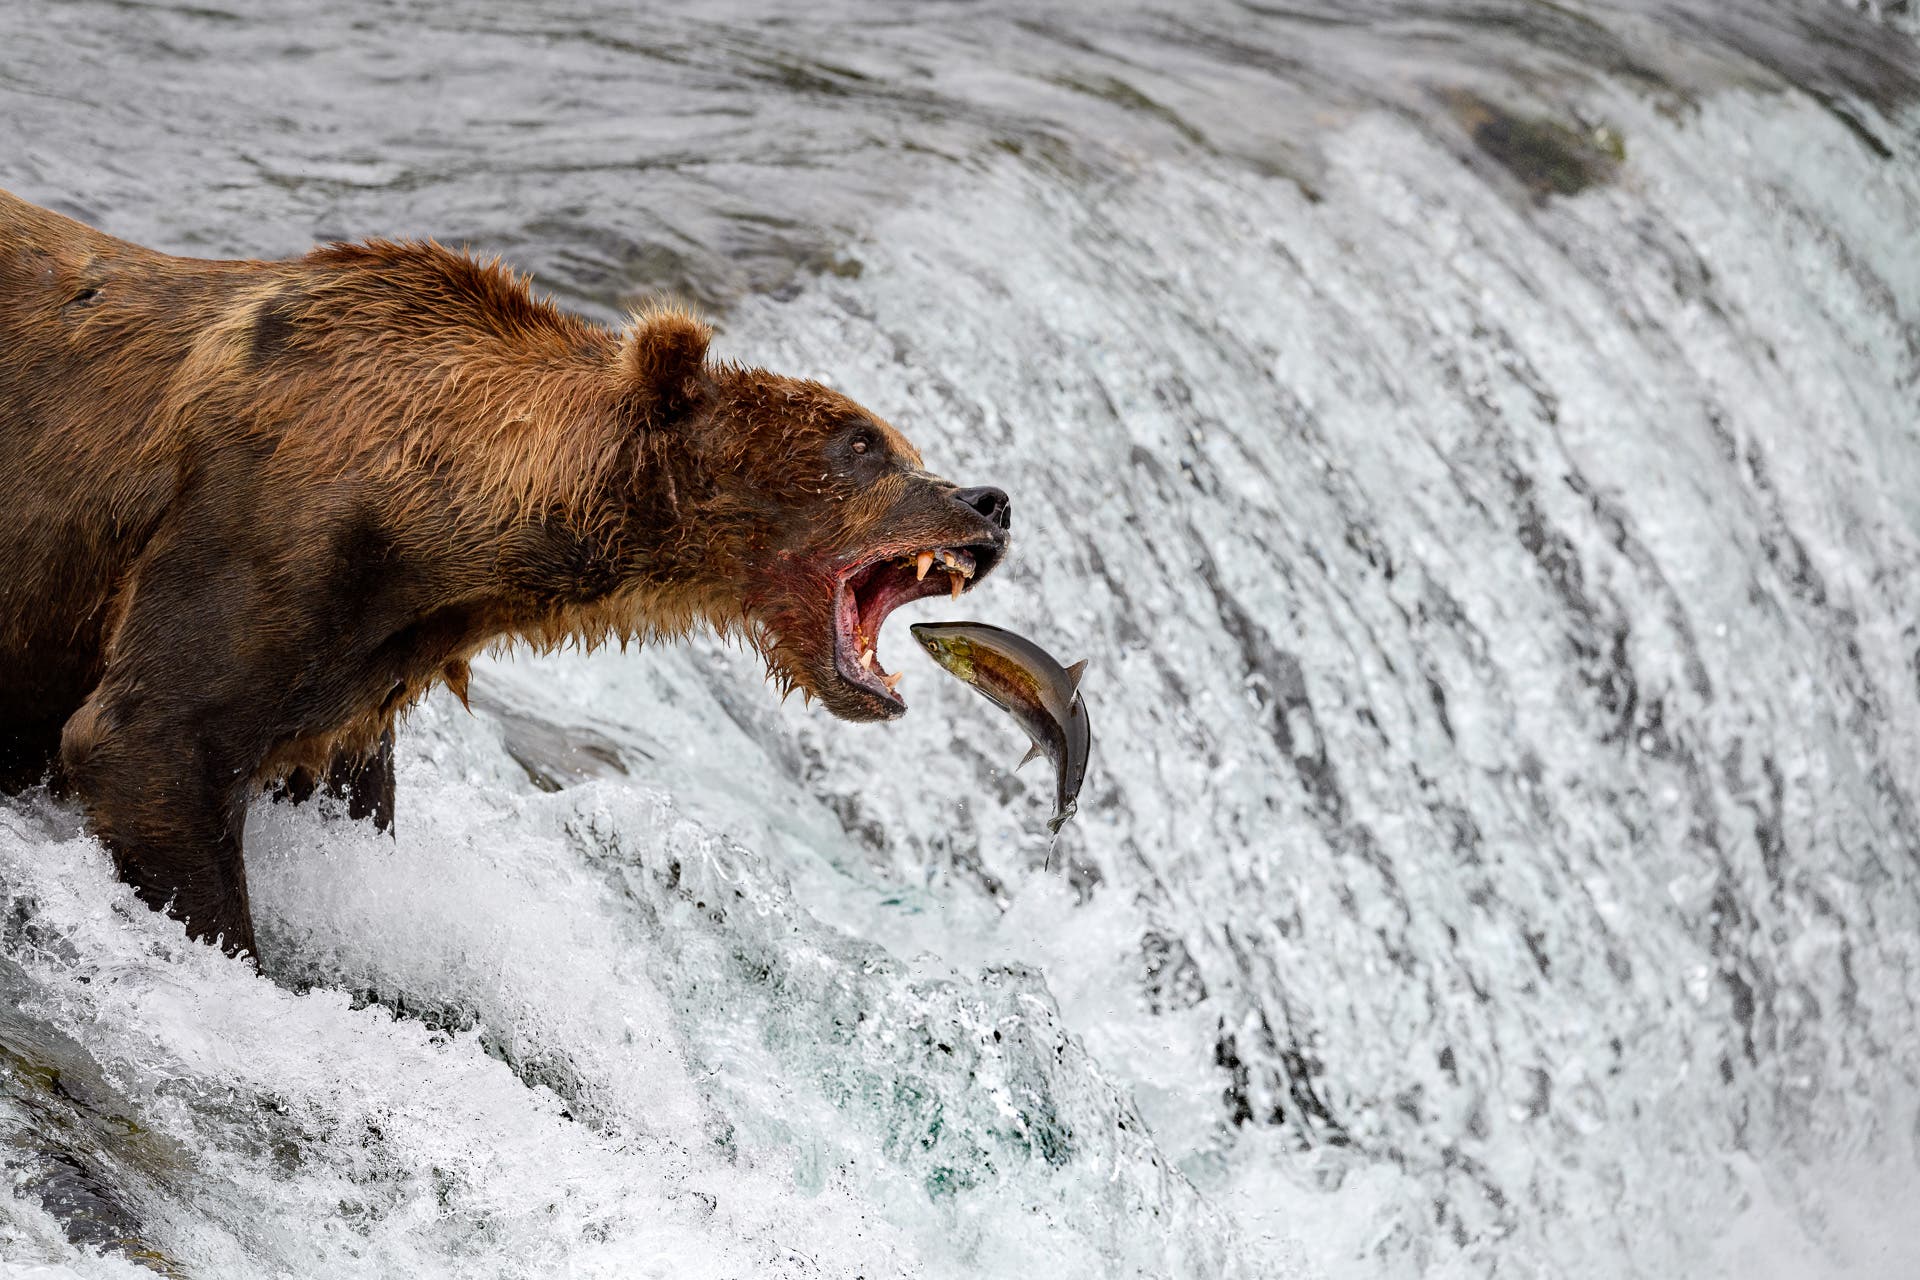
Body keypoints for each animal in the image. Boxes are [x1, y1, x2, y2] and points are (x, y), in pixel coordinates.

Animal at [0, 188, 1011, 958]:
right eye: (862, 444)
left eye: (906, 444)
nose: (989, 500)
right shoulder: (258, 543)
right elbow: (147, 741)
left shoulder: (351, 681)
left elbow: (334, 787)